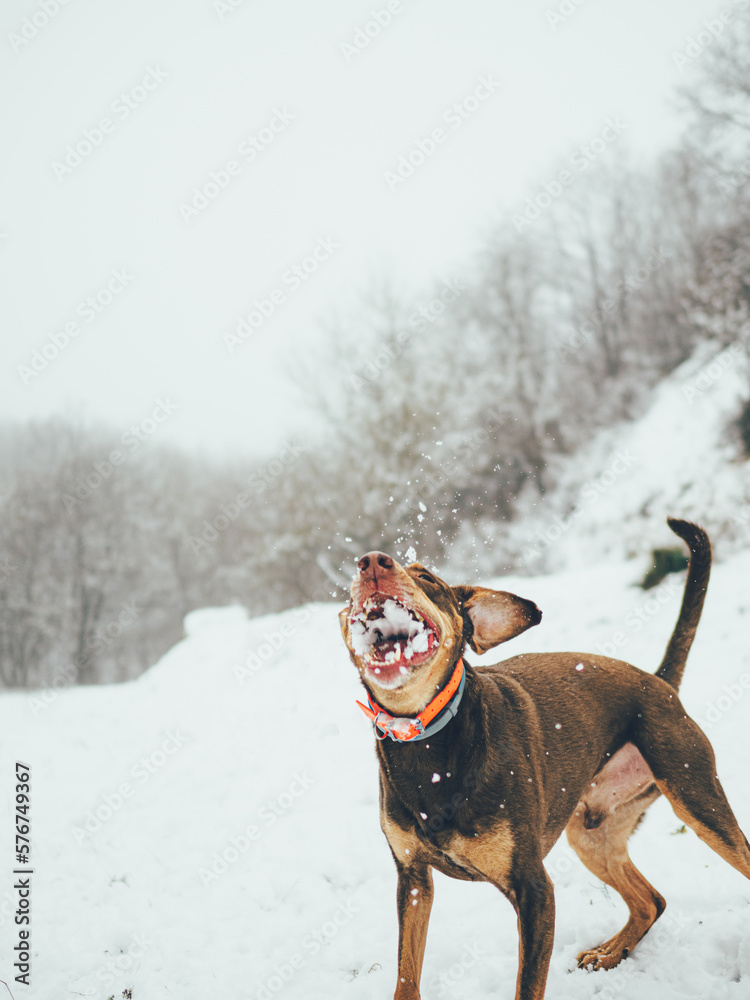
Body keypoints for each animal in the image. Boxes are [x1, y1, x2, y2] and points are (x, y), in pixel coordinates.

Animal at [340, 520, 750, 996]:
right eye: (348, 590)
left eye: (426, 578)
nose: (372, 562)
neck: (426, 739)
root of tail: (659, 682)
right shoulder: (412, 879)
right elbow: (407, 974)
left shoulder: (533, 889)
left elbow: (528, 984)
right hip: (591, 834)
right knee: (652, 901)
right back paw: (609, 954)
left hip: (698, 800)